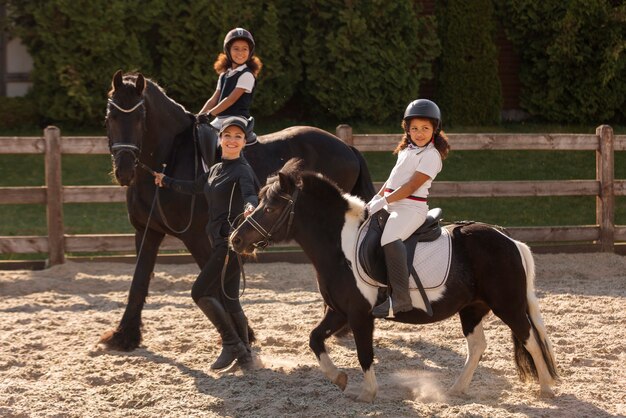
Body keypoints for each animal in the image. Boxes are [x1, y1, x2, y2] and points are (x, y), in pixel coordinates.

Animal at [100, 70, 372, 352]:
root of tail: (346, 147)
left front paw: (243, 335)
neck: (171, 158)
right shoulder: (147, 231)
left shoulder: (197, 237)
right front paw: (124, 335)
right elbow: (139, 281)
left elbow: (216, 287)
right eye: (110, 118)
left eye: (140, 118)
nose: (124, 170)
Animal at [229, 162, 556, 404]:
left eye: (271, 208)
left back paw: (545, 389)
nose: (236, 239)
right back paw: (457, 389)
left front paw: (367, 393)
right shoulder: (338, 312)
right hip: (472, 308)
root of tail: (508, 239)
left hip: (508, 305)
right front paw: (339, 378)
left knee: (530, 339)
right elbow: (314, 339)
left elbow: (364, 353)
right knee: (477, 346)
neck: (340, 246)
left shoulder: (360, 315)